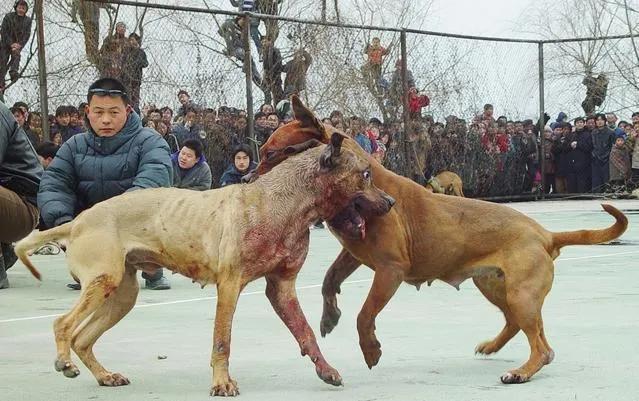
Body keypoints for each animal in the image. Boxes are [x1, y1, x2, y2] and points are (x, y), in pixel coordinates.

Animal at [13, 134, 396, 394]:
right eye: (365, 174)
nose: (391, 201)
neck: (284, 203)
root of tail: (78, 221)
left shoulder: (282, 288)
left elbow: (306, 334)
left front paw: (325, 369)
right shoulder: (229, 287)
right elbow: (222, 341)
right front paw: (222, 383)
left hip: (122, 295)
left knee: (83, 338)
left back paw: (104, 375)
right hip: (104, 281)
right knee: (63, 325)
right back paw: (64, 361)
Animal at [248, 97, 628, 384]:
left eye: (272, 154)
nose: (249, 179)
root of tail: (545, 234)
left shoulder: (389, 271)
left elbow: (364, 314)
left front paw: (370, 348)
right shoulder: (353, 254)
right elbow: (329, 281)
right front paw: (329, 316)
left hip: (521, 293)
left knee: (540, 344)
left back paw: (521, 372)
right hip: (496, 287)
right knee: (520, 327)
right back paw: (494, 348)